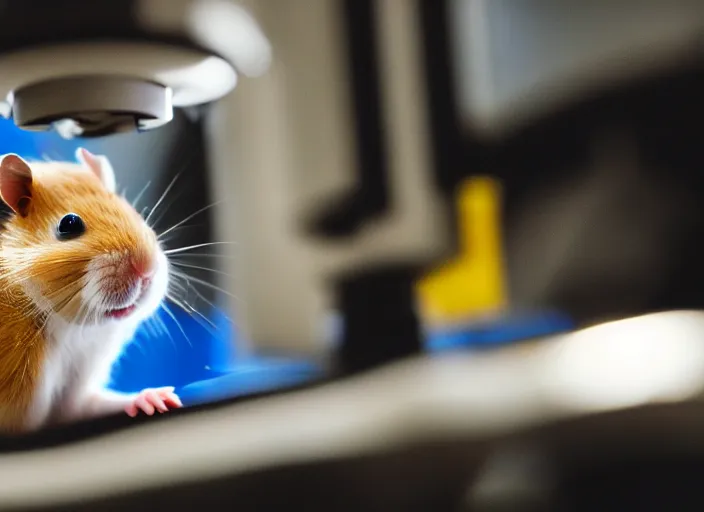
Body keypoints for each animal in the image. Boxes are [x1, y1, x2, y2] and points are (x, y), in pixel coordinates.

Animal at [0, 148, 182, 432]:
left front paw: (162, 399)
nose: (147, 268)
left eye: (132, 210)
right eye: (68, 224)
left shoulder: (73, 400)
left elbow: (95, 404)